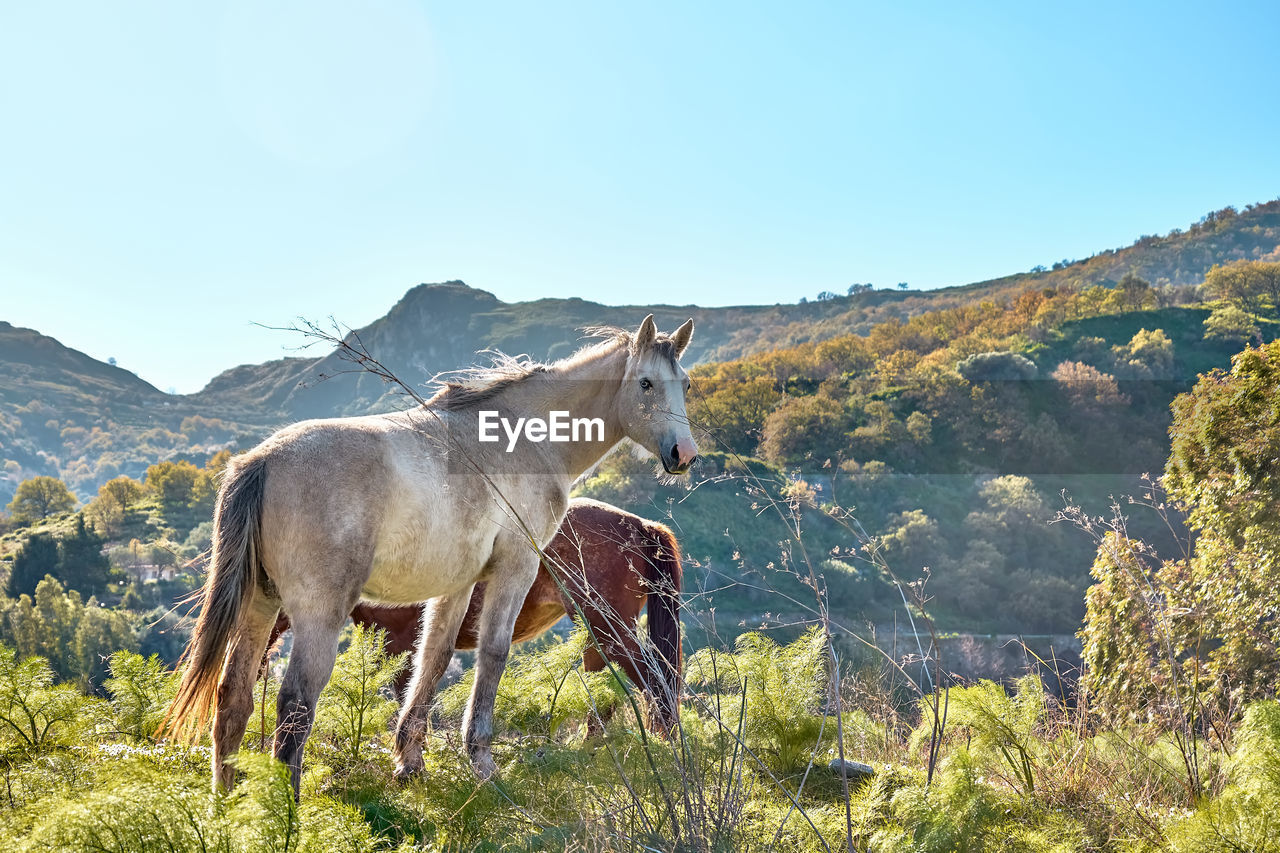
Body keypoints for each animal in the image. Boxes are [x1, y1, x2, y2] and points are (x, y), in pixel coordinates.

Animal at [270, 499, 686, 732]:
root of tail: (640, 526)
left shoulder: (401, 647)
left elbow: (409, 700)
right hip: (598, 637)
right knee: (608, 696)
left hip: (609, 630)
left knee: (655, 686)